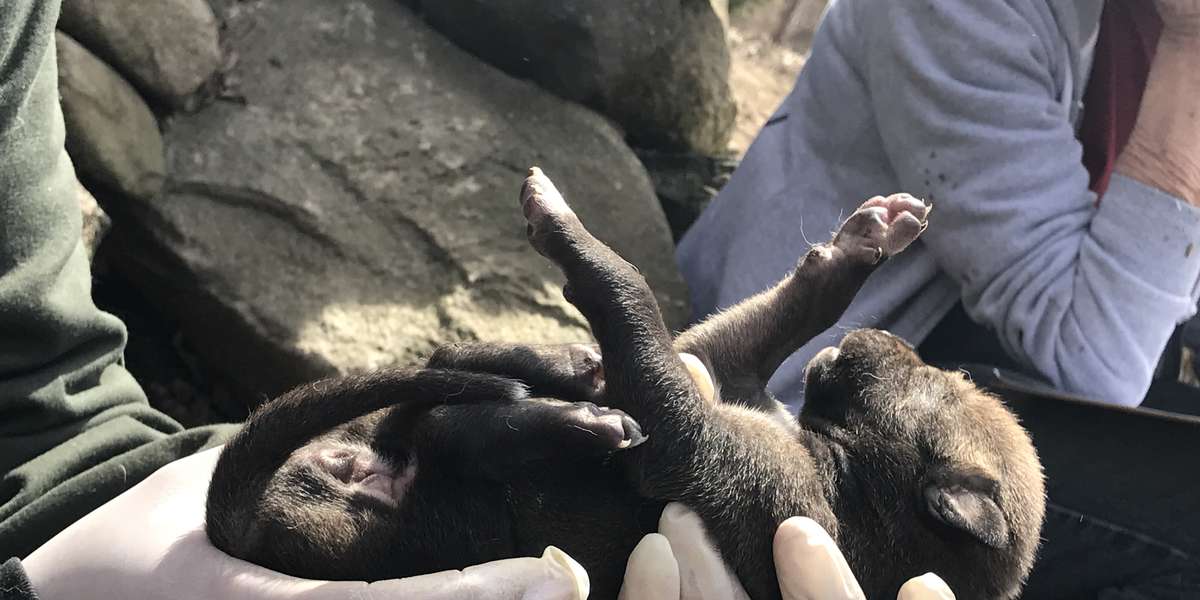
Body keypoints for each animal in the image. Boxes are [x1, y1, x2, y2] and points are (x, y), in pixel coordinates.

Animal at [204, 170, 1041, 600]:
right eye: (954, 373)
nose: (884, 337)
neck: (844, 474)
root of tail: (258, 527)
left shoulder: (717, 459)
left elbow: (630, 291)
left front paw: (568, 231)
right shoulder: (715, 360)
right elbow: (784, 309)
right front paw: (865, 241)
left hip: (449, 524)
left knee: (456, 430)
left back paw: (570, 415)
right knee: (444, 391)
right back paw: (562, 374)